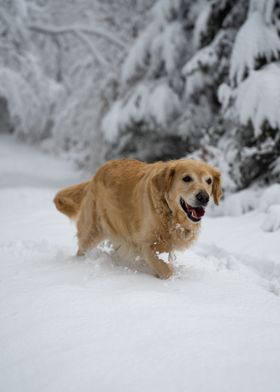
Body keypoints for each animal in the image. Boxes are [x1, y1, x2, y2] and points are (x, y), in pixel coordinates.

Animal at [53, 158, 222, 278]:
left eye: (209, 181)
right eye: (187, 178)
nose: (204, 197)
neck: (169, 213)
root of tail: (96, 175)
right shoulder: (146, 244)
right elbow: (165, 269)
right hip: (92, 230)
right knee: (82, 248)